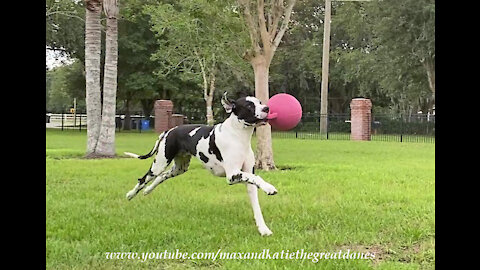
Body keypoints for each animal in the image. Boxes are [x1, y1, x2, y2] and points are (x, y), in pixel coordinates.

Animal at [124, 92, 278, 235]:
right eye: (249, 106)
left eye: (259, 102)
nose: (267, 108)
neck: (237, 136)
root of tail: (169, 131)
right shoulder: (232, 175)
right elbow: (257, 177)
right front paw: (269, 187)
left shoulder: (247, 178)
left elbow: (256, 205)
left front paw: (263, 229)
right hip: (159, 164)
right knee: (143, 179)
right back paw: (131, 194)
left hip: (179, 168)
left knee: (162, 177)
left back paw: (148, 190)